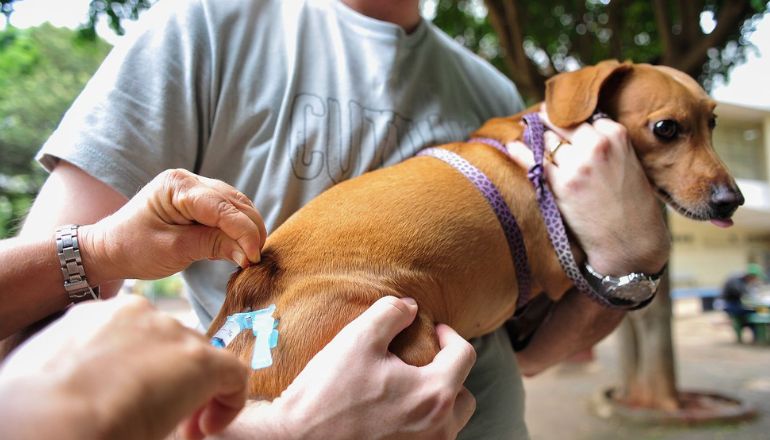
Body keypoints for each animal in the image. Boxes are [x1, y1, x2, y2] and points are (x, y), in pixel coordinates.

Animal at [207, 59, 740, 398]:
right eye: (667, 128)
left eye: (714, 122)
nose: (732, 200)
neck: (542, 145)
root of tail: (254, 285)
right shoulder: (561, 271)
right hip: (409, 336)